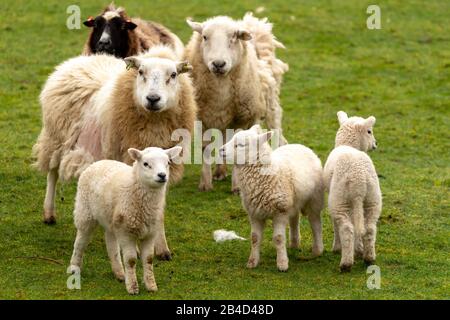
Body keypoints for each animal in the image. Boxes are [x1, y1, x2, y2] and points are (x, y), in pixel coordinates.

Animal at [68, 146, 181, 296]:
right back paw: (74, 267)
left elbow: (149, 259)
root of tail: (96, 163)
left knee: (111, 246)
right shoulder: (126, 233)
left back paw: (120, 274)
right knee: (80, 242)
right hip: (85, 212)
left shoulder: (150, 233)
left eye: (168, 162)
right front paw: (132, 287)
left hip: (111, 220)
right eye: (145, 164)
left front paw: (151, 286)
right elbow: (131, 260)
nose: (162, 175)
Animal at [219, 125, 322, 270]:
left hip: (313, 199)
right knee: (294, 219)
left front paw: (282, 263)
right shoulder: (254, 213)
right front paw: (252, 262)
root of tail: (300, 145)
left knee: (315, 222)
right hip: (292, 202)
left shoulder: (280, 211)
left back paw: (317, 250)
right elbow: (254, 238)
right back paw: (294, 244)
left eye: (241, 145)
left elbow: (278, 238)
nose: (220, 150)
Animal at [324, 111, 384, 272]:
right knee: (369, 227)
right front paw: (358, 249)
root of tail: (359, 179)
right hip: (372, 198)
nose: (376, 144)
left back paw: (346, 262)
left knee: (346, 228)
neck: (347, 144)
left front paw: (337, 248)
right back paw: (369, 257)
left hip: (340, 198)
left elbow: (335, 223)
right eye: (369, 131)